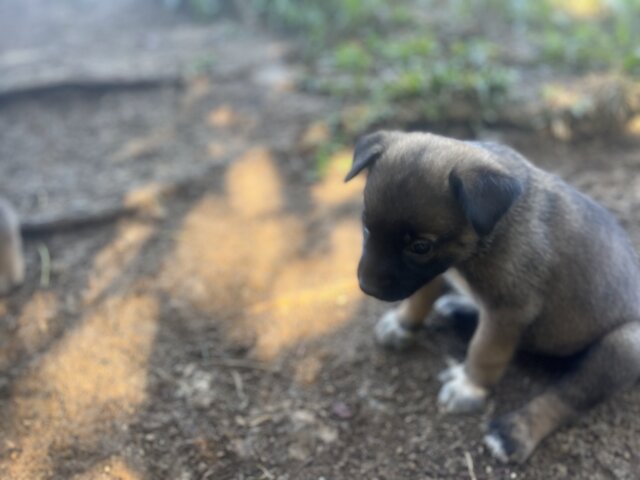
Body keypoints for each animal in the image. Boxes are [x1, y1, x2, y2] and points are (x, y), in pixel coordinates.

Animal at [344, 129, 640, 464]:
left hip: (624, 344)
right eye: (366, 225)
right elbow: (421, 296)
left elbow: (485, 351)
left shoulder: (508, 310)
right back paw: (458, 309)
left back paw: (515, 431)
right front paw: (402, 323)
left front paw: (469, 388)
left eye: (420, 246)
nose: (367, 287)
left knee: (568, 396)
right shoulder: (437, 271)